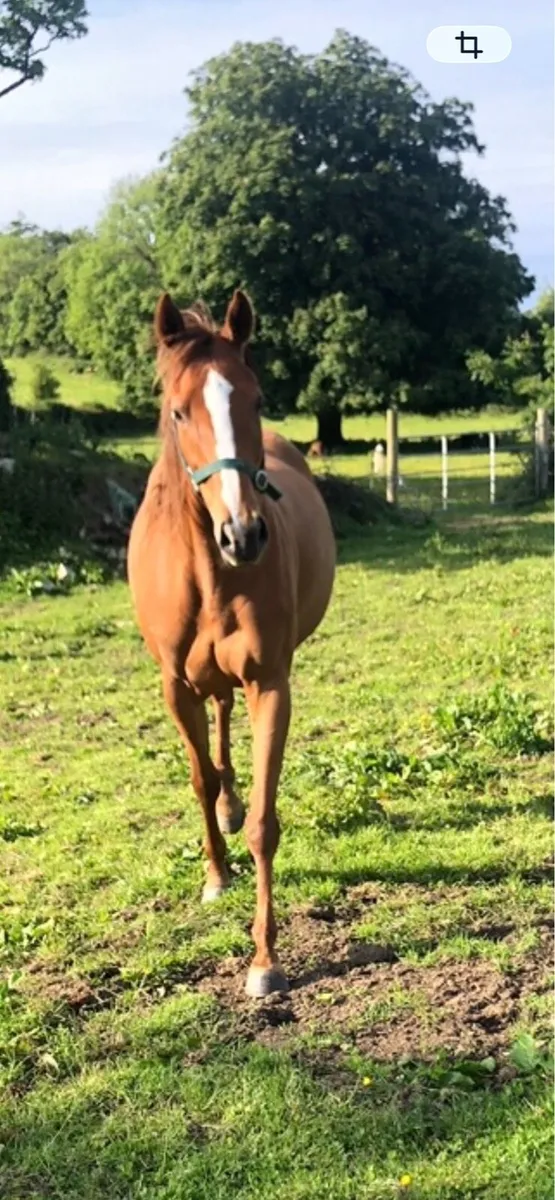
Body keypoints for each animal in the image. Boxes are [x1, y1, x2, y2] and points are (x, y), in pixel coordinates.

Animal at [127, 289, 336, 997]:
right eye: (178, 409)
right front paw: (216, 875)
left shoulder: (270, 682)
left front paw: (265, 959)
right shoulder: (173, 687)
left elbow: (266, 824)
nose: (243, 535)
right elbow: (197, 777)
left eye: (256, 397)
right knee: (215, 731)